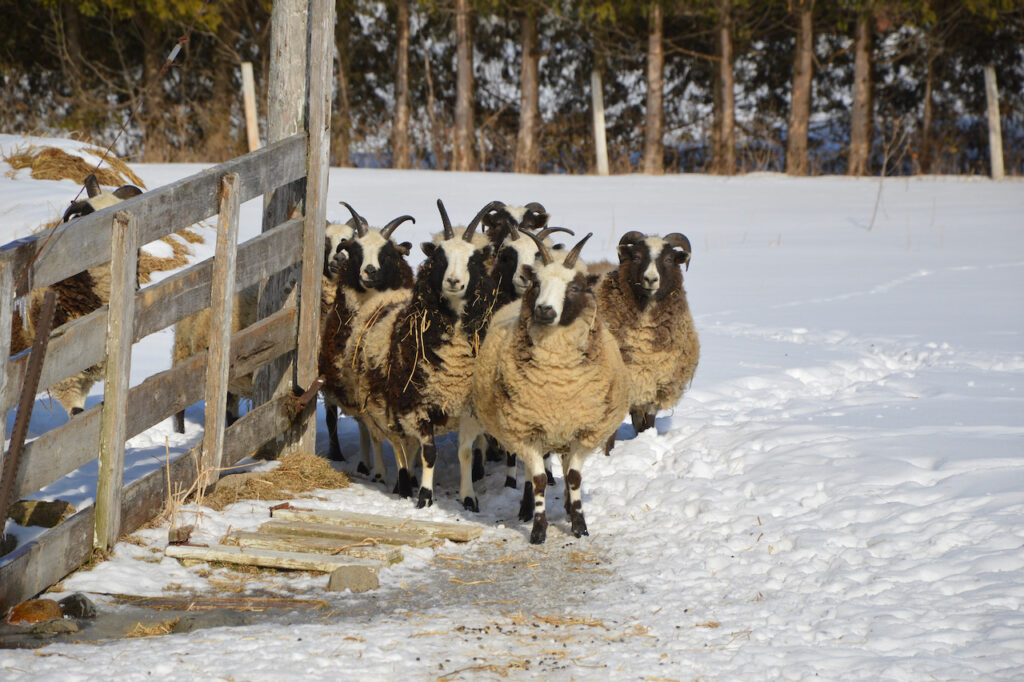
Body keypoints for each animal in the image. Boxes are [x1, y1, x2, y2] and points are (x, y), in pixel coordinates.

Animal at [468, 229, 626, 540]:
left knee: (563, 467)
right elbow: (540, 479)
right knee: (533, 474)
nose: (543, 310)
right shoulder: (526, 429)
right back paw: (527, 508)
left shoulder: (583, 430)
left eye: (575, 287)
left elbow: (574, 477)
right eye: (537, 283)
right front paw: (538, 529)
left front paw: (579, 524)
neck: (557, 383)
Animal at [598, 229, 700, 450]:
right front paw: (607, 454)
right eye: (636, 257)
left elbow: (648, 423)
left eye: (669, 259)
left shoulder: (655, 384)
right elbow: (610, 433)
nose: (650, 279)